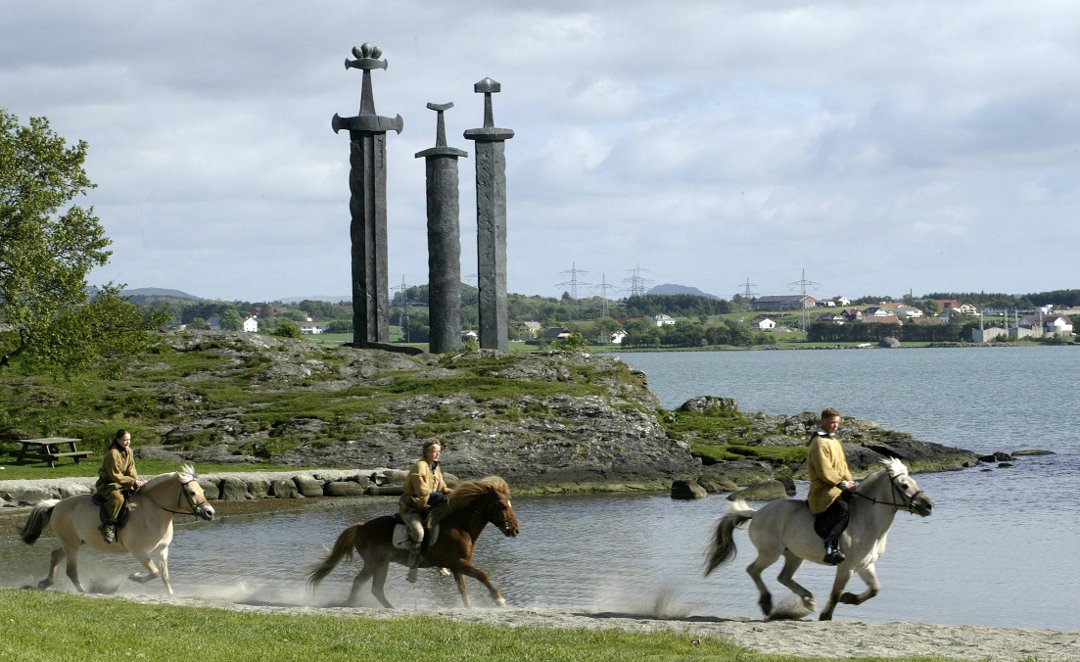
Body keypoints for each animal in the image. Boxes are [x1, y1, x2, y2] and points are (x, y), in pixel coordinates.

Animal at [18, 464, 214, 591]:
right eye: (192, 493)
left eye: (203, 492)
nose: (210, 512)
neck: (153, 511)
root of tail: (56, 505)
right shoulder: (139, 551)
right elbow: (154, 572)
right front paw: (134, 577)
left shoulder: (162, 550)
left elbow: (164, 576)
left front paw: (171, 597)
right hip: (72, 544)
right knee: (71, 570)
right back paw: (83, 591)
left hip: (76, 542)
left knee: (55, 556)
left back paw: (46, 583)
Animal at [306, 473, 520, 604]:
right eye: (503, 506)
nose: (515, 530)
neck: (460, 527)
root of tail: (361, 528)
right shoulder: (458, 562)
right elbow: (483, 575)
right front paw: (499, 599)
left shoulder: (457, 565)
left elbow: (464, 590)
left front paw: (470, 607)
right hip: (379, 562)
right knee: (374, 587)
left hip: (374, 563)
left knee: (361, 583)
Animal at [704, 460, 933, 617]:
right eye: (903, 485)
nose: (928, 505)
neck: (868, 520)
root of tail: (756, 513)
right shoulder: (846, 566)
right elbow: (835, 593)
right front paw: (826, 616)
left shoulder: (865, 564)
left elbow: (875, 589)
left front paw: (850, 598)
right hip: (770, 553)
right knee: (753, 570)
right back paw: (767, 604)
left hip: (794, 555)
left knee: (783, 577)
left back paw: (808, 600)